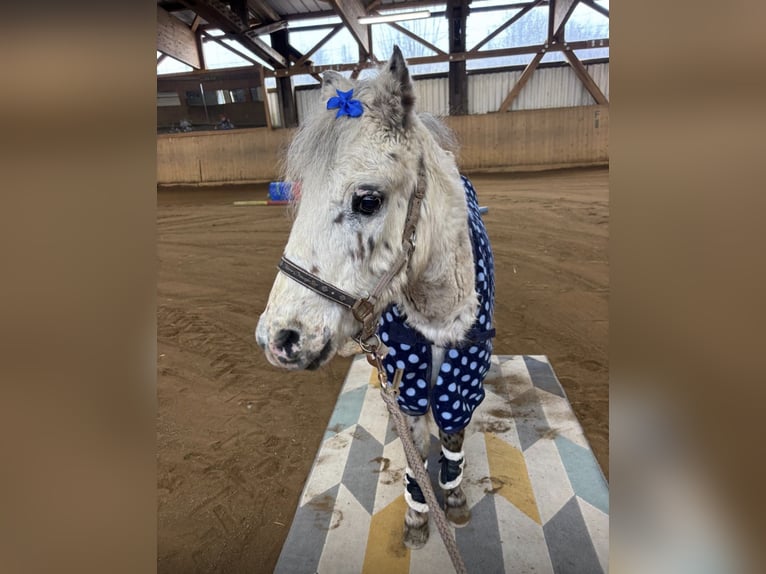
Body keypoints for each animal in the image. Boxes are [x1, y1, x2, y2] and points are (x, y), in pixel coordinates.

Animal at [256, 46, 495, 549]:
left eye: (367, 200)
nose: (279, 338)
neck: (435, 314)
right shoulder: (406, 380)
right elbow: (413, 445)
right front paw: (418, 516)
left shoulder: (464, 374)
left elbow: (452, 435)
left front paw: (454, 497)